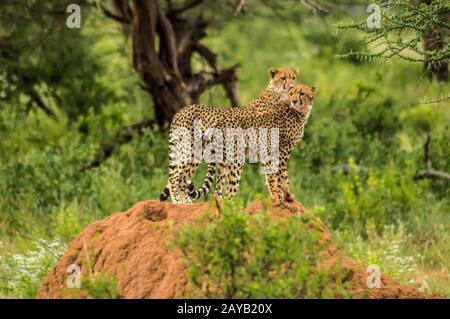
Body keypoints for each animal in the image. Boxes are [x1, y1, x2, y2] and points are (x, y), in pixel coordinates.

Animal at [158, 67, 298, 205]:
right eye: (283, 78)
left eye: (294, 78)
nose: (292, 86)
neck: (278, 97)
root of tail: (180, 111)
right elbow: (273, 175)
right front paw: (280, 197)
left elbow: (280, 174)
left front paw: (287, 196)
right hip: (190, 150)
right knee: (173, 178)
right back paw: (177, 202)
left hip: (194, 152)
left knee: (181, 179)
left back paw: (187, 204)